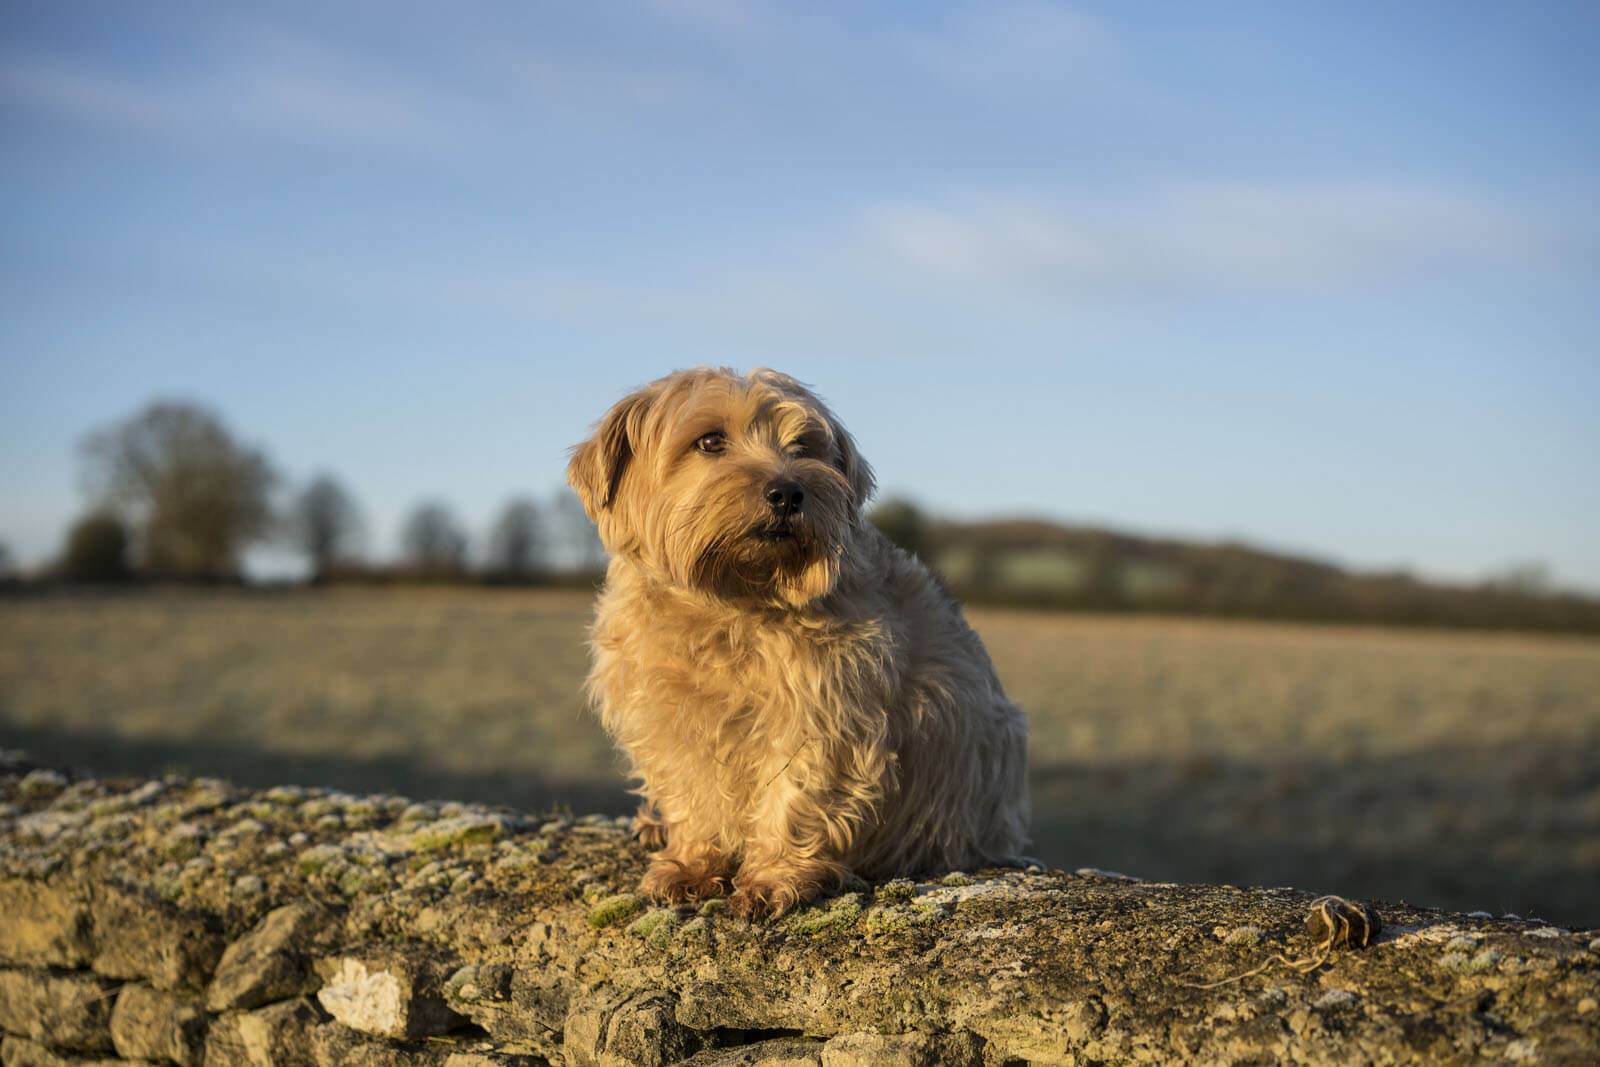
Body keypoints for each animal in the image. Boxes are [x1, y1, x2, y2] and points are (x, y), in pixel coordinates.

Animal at [569, 369, 1030, 921]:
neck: (730, 604)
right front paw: (691, 864)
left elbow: (797, 794)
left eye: (804, 446)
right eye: (710, 441)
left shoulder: (827, 714)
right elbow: (693, 796)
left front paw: (774, 878)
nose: (788, 492)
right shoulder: (667, 719)